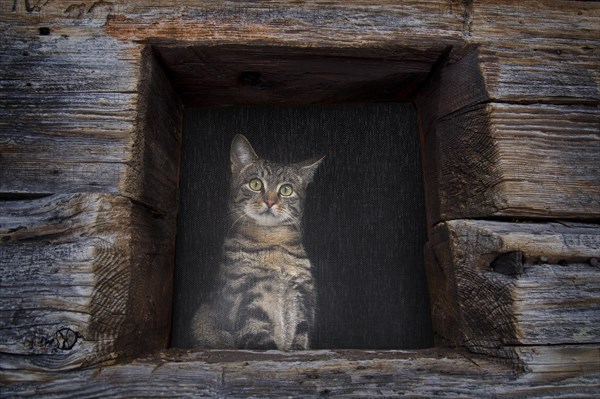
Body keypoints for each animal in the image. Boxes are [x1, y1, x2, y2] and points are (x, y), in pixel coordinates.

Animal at [191, 134, 324, 350]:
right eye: (255, 184)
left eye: (286, 189)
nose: (270, 201)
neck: (273, 242)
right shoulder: (246, 291)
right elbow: (255, 326)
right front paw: (268, 348)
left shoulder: (302, 293)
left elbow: (300, 330)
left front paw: (297, 349)